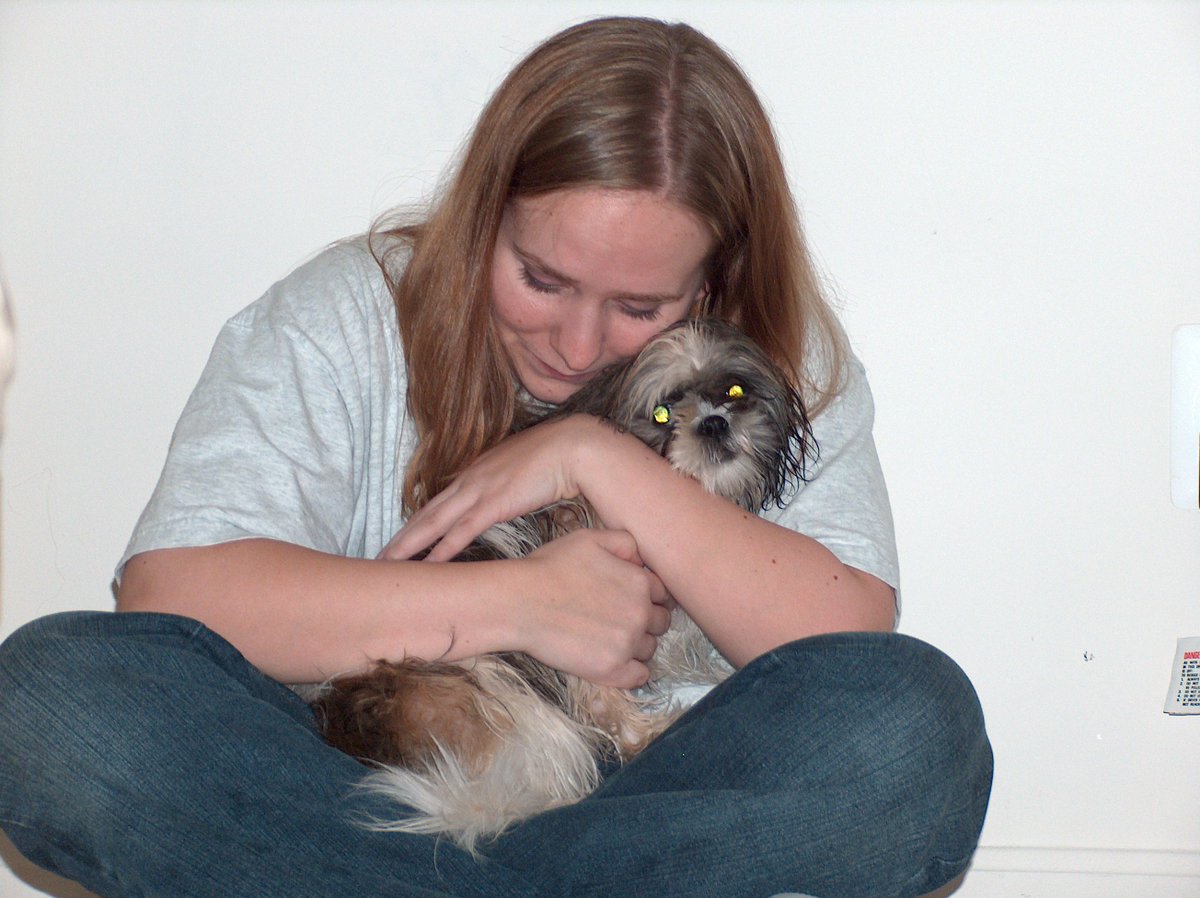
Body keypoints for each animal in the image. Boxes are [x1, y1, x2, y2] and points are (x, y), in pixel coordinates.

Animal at [309, 318, 816, 851]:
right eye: (662, 414)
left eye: (734, 391)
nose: (714, 423)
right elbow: (603, 696)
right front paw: (647, 728)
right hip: (501, 689)